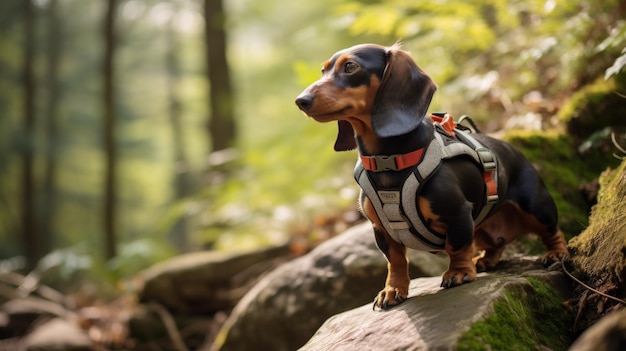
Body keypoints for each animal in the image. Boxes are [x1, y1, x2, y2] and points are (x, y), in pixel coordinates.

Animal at [292, 43, 564, 310]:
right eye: (323, 70)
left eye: (350, 66)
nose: (301, 100)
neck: (388, 161)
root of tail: (513, 147)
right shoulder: (381, 230)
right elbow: (395, 261)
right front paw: (393, 289)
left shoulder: (457, 213)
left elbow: (456, 246)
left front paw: (458, 272)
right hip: (484, 230)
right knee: (497, 244)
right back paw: (485, 260)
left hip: (537, 207)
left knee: (552, 231)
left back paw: (556, 253)